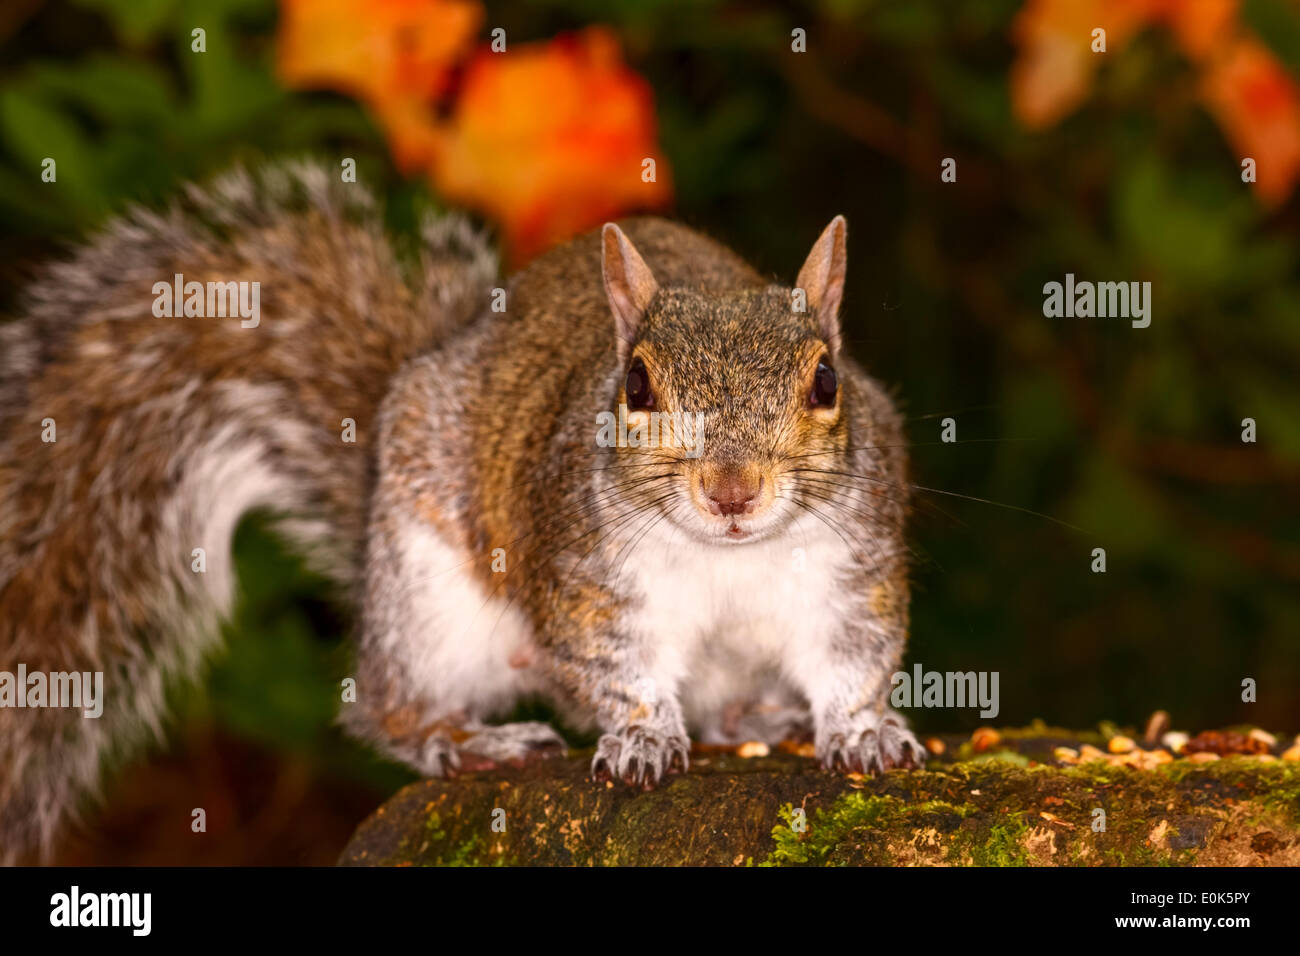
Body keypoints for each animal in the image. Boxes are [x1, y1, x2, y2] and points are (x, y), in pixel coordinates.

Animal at [0, 160, 923, 862]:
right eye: (636, 385)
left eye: (827, 381)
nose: (732, 490)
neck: (728, 553)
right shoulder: (583, 573)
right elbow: (614, 662)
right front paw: (640, 736)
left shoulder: (854, 567)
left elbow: (852, 657)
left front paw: (863, 731)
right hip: (426, 598)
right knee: (386, 707)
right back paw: (466, 739)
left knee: (728, 704)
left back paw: (756, 718)